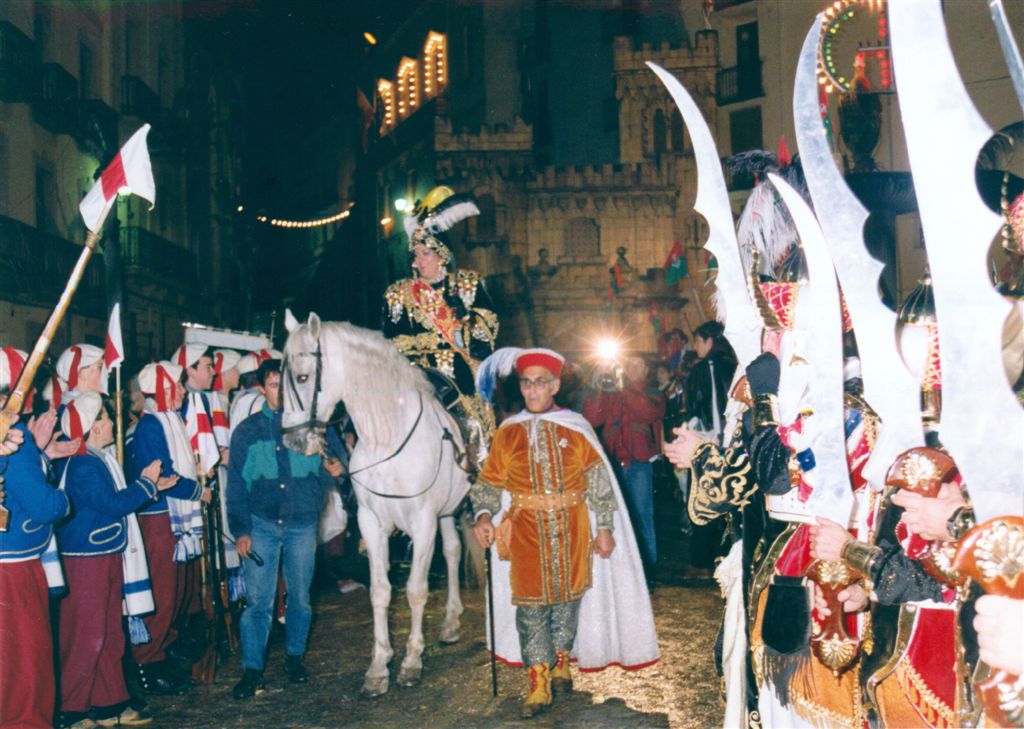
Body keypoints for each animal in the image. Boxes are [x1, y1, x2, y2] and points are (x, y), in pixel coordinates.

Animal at [280, 311, 471, 696]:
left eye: (303, 377)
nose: (294, 441)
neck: (389, 439)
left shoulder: (422, 523)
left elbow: (415, 590)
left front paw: (411, 662)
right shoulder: (371, 522)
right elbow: (381, 592)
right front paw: (379, 666)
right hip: (447, 513)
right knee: (453, 552)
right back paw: (450, 624)